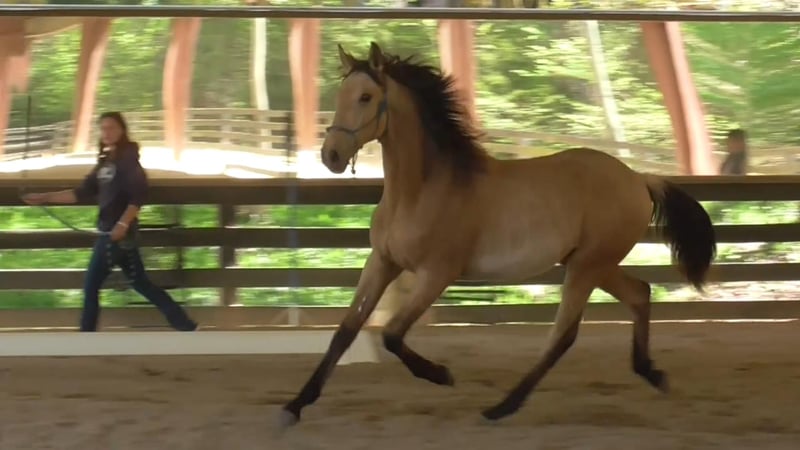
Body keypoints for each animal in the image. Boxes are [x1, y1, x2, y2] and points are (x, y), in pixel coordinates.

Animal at [278, 42, 716, 428]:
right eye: (342, 94)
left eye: (367, 97)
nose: (331, 156)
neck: (422, 190)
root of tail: (638, 179)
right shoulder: (382, 262)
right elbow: (345, 332)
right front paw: (294, 406)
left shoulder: (437, 274)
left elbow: (391, 334)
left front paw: (442, 374)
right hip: (595, 263)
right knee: (639, 294)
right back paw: (652, 373)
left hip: (588, 266)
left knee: (563, 334)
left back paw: (501, 407)